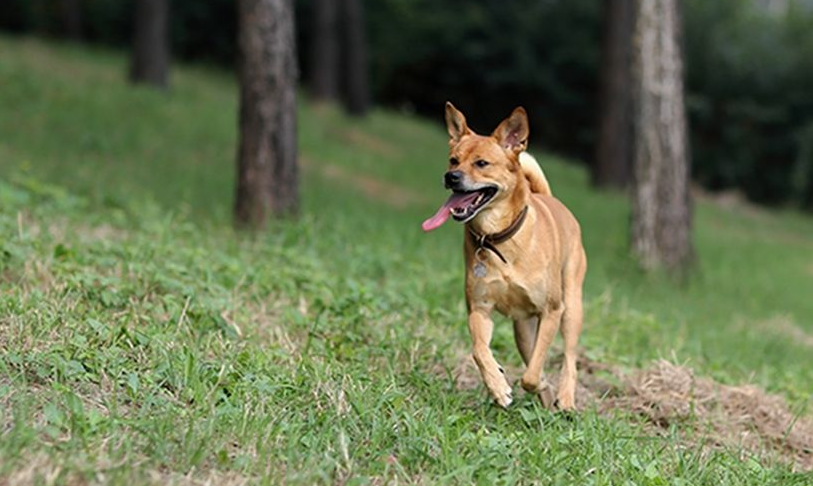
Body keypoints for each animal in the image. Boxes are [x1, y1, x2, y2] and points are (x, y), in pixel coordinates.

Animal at [422, 102, 588, 410]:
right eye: (453, 160)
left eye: (481, 163)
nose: (451, 177)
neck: (498, 238)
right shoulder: (479, 309)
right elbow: (479, 350)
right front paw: (498, 386)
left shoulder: (552, 311)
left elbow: (532, 375)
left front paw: (533, 383)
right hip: (522, 330)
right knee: (532, 355)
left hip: (571, 307)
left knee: (569, 359)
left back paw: (566, 399)